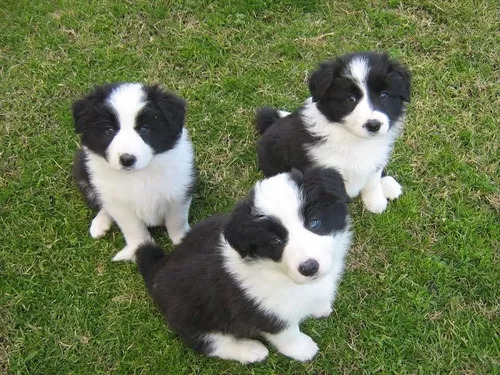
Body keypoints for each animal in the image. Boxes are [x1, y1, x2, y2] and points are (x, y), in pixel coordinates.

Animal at [73, 83, 196, 260]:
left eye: (144, 129)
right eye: (109, 130)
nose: (127, 159)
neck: (138, 175)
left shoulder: (178, 191)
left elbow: (176, 220)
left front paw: (182, 240)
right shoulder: (121, 207)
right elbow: (134, 229)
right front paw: (140, 248)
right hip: (83, 172)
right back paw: (99, 223)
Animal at [131, 168, 354, 364]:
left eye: (314, 223)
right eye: (275, 241)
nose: (309, 268)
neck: (278, 272)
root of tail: (157, 273)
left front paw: (319, 307)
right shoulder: (265, 311)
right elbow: (286, 332)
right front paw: (303, 349)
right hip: (190, 314)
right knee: (207, 342)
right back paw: (250, 349)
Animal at [256, 52, 412, 214]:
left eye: (384, 95)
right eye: (350, 99)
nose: (373, 125)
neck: (354, 139)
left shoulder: (375, 157)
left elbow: (373, 179)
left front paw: (376, 202)